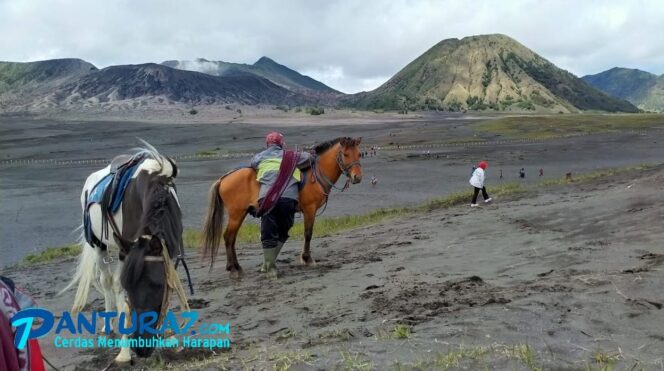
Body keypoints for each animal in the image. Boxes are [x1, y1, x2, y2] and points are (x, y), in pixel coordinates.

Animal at [61, 143, 183, 364]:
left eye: (156, 285)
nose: (141, 347)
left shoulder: (169, 254)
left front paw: (168, 338)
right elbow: (122, 295)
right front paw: (124, 353)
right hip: (99, 246)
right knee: (108, 282)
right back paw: (109, 326)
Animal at [202, 137, 364, 276]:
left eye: (359, 154)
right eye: (345, 154)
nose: (357, 177)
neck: (316, 174)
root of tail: (223, 178)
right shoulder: (310, 210)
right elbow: (308, 234)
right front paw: (307, 259)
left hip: (240, 215)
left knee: (232, 238)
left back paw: (235, 266)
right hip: (237, 215)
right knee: (228, 238)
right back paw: (234, 268)